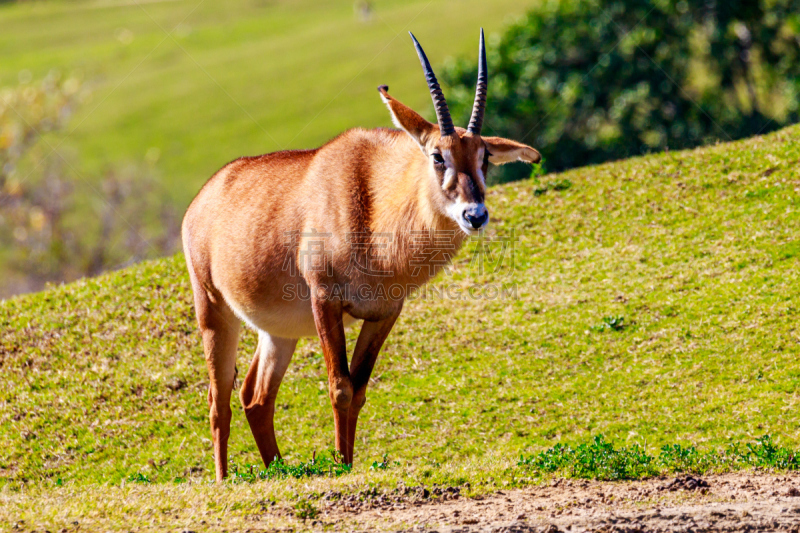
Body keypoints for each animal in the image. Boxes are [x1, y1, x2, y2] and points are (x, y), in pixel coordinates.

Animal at [181, 29, 540, 480]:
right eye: (437, 155)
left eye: (485, 157)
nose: (474, 215)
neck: (373, 201)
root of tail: (204, 197)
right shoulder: (325, 301)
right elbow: (340, 387)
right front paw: (341, 467)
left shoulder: (385, 313)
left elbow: (360, 388)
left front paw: (348, 462)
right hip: (214, 313)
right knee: (219, 402)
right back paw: (225, 479)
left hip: (278, 332)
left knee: (256, 397)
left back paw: (279, 470)